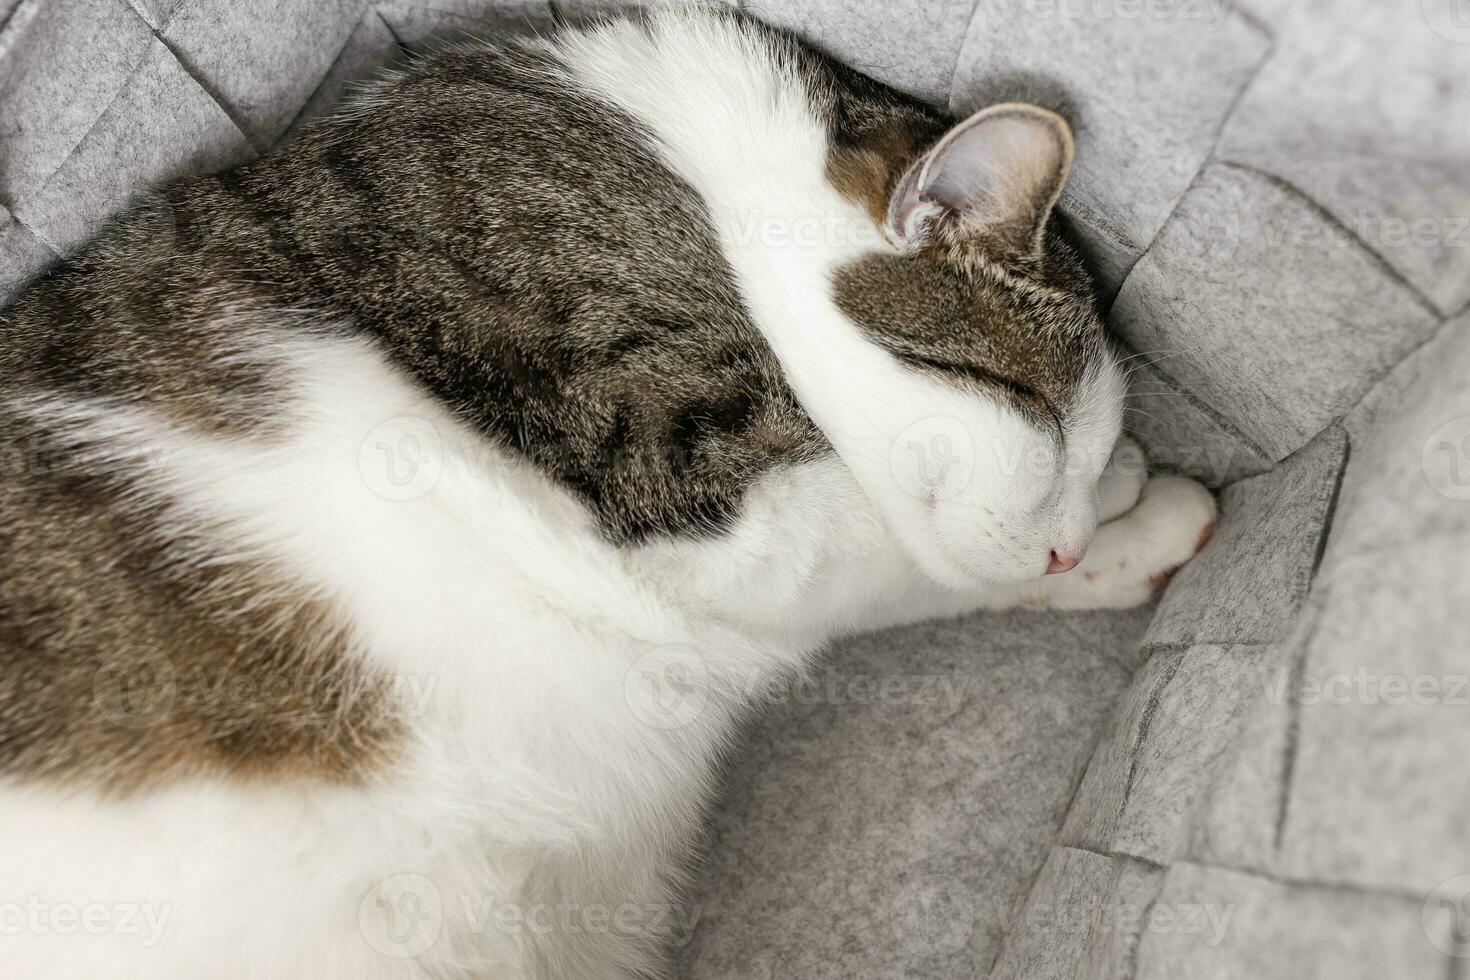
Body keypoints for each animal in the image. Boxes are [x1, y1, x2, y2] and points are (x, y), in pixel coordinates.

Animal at [0, 7, 1217, 980]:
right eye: (1042, 416)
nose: (1067, 541)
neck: (691, 169)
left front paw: (1119, 524)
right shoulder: (677, 473)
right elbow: (899, 556)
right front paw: (1135, 514)